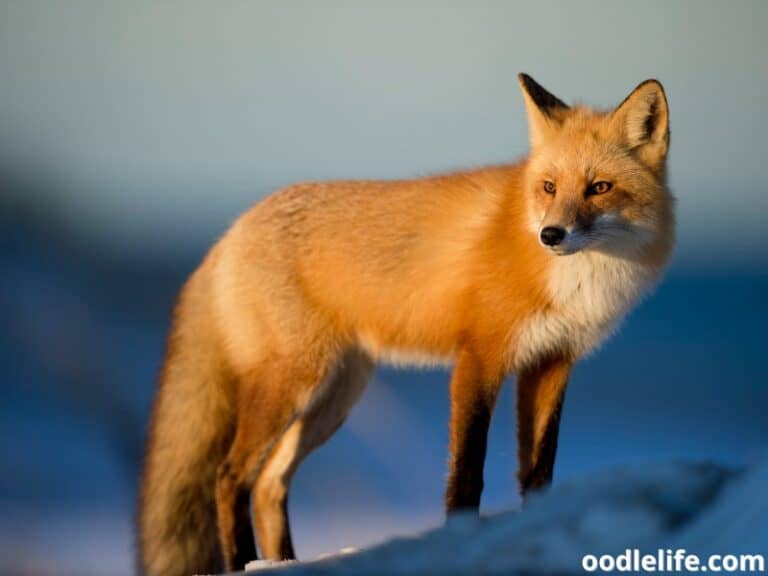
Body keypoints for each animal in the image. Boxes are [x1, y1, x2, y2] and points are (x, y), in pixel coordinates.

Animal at [137, 73, 674, 576]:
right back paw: (243, 562)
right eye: (549, 187)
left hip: (334, 398)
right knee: (229, 477)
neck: (575, 281)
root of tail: (230, 233)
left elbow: (539, 471)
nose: (551, 234)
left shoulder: (552, 362)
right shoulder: (479, 357)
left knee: (270, 483)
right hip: (293, 384)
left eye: (599, 188)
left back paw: (285, 562)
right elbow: (467, 471)